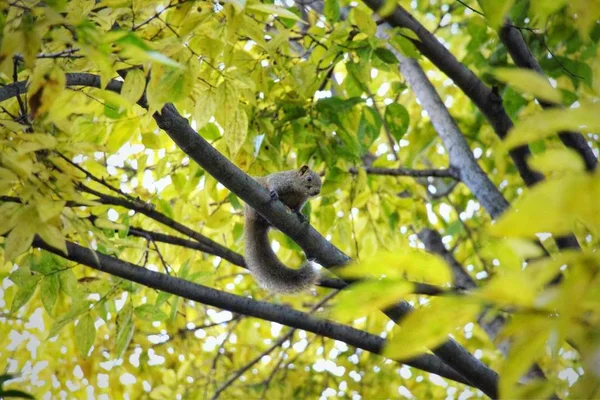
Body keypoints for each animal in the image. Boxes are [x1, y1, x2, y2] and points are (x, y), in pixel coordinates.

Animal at [243, 166, 322, 294]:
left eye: (321, 183)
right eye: (309, 179)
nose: (317, 192)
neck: (298, 192)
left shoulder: (299, 202)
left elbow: (297, 210)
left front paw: (301, 215)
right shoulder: (281, 179)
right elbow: (272, 182)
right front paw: (274, 193)